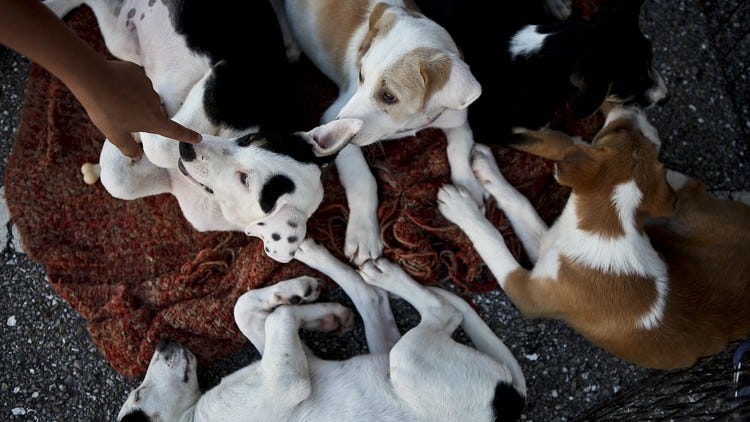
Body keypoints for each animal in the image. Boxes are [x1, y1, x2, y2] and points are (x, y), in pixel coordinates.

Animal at [116, 239, 528, 420]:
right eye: (137, 394)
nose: (162, 342)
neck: (192, 417)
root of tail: (509, 400)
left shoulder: (289, 365)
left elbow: (245, 307)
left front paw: (305, 302)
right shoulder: (287, 380)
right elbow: (276, 318)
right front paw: (311, 311)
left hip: (400, 359)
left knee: (401, 303)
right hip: (407, 361)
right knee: (440, 312)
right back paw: (377, 274)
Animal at [272, 0, 488, 264]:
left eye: (389, 96)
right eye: (361, 75)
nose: (337, 125)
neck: (411, 123)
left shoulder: (457, 119)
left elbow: (459, 149)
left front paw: (469, 191)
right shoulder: (335, 120)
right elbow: (363, 180)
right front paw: (363, 233)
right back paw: (289, 42)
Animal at [438, 102, 750, 370]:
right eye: (620, 131)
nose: (634, 106)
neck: (612, 223)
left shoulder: (526, 292)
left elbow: (493, 238)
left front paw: (461, 206)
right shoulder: (549, 247)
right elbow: (521, 203)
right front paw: (486, 168)